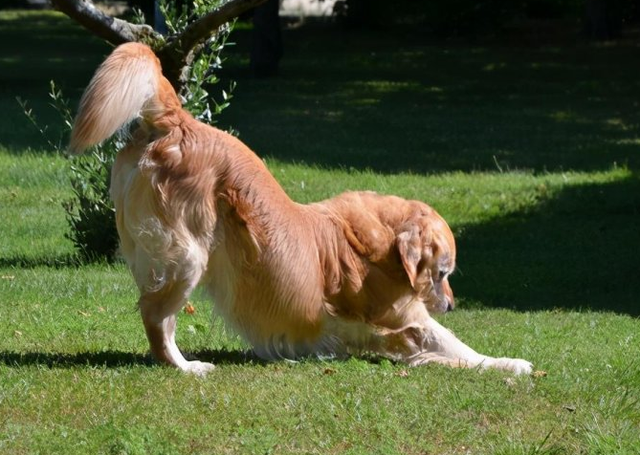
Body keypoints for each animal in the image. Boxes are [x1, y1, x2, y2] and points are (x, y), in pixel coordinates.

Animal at [69, 42, 536, 376]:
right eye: (442, 274)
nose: (453, 305)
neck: (378, 245)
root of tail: (180, 120)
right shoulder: (405, 321)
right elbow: (454, 349)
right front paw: (504, 365)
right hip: (188, 255)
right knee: (156, 316)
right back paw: (186, 367)